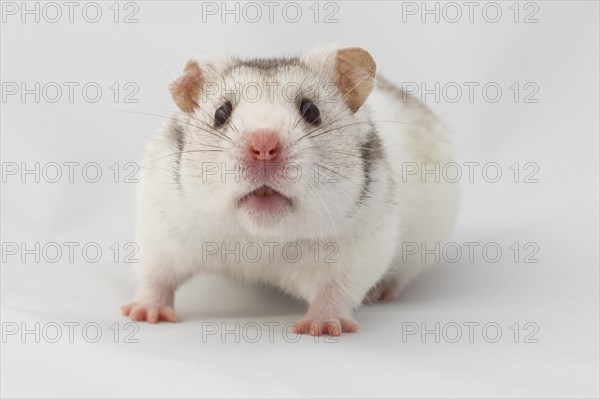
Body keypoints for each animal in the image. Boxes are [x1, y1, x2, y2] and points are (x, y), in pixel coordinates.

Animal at [123, 47, 460, 338]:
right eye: (221, 113)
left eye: (311, 110)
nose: (263, 146)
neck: (260, 240)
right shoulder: (161, 226)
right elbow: (156, 275)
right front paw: (142, 314)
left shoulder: (358, 248)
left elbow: (336, 291)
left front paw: (320, 327)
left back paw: (382, 292)